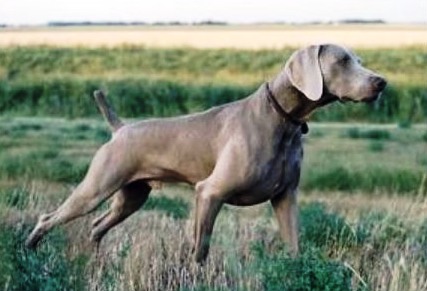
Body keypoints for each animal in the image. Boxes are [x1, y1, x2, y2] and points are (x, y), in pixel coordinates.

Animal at [26, 44, 388, 264]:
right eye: (342, 60)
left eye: (358, 59)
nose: (381, 82)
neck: (283, 120)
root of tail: (120, 128)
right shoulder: (209, 193)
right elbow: (199, 249)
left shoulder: (285, 197)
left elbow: (294, 246)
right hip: (96, 187)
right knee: (49, 218)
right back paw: (28, 254)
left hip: (132, 196)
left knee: (97, 225)